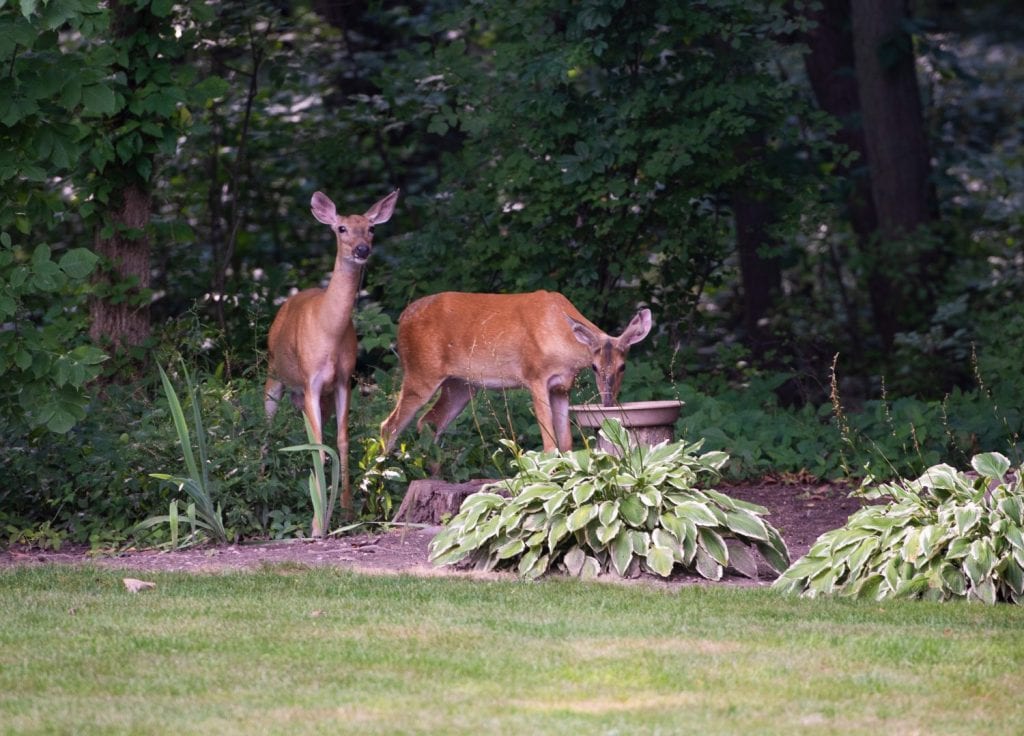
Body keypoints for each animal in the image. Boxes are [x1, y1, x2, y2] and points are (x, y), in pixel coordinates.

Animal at [264, 189, 399, 529]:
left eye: (371, 228)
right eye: (341, 228)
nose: (362, 249)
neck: (329, 331)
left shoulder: (342, 381)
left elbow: (341, 442)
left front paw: (347, 512)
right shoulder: (310, 380)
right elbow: (318, 447)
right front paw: (317, 522)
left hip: (310, 398)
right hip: (275, 376)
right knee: (267, 427)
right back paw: (264, 480)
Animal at [380, 290, 652, 454]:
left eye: (623, 366)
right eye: (594, 366)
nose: (608, 401)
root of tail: (402, 317)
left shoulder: (562, 387)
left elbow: (565, 442)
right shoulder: (535, 376)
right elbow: (549, 443)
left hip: (460, 385)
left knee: (429, 423)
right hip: (420, 371)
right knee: (389, 425)